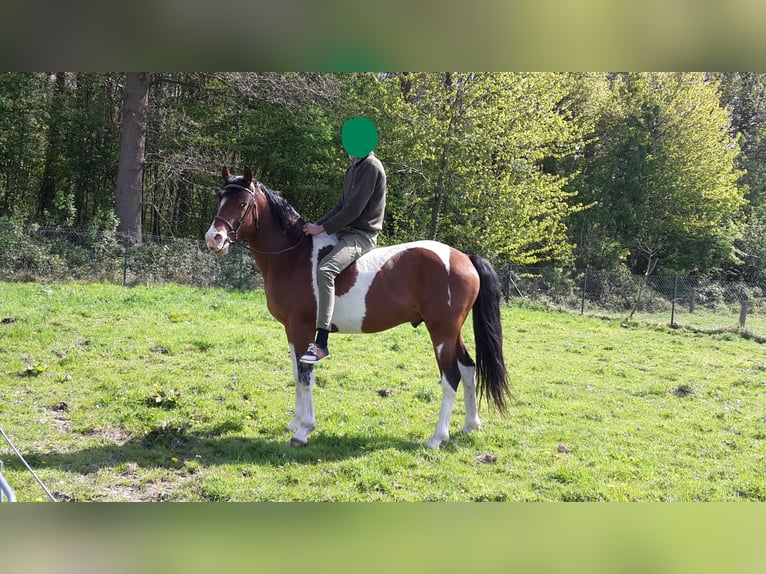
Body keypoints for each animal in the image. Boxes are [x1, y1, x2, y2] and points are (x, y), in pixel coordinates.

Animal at [207, 166, 512, 450]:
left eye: (243, 204)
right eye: (220, 198)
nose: (214, 238)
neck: (293, 256)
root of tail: (464, 257)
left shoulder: (303, 328)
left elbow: (306, 377)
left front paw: (304, 430)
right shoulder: (291, 331)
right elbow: (296, 373)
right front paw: (294, 422)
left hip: (441, 333)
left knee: (451, 378)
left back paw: (437, 438)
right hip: (452, 333)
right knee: (469, 369)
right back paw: (470, 425)